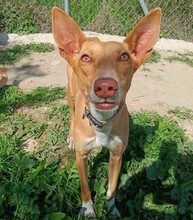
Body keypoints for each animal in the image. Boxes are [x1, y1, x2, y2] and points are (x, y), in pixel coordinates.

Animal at [51, 7, 161, 218]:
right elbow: (85, 188)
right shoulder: (81, 156)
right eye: (86, 58)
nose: (105, 87)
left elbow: (112, 188)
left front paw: (111, 210)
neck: (101, 122)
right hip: (70, 95)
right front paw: (87, 209)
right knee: (71, 113)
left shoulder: (117, 156)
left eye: (124, 56)